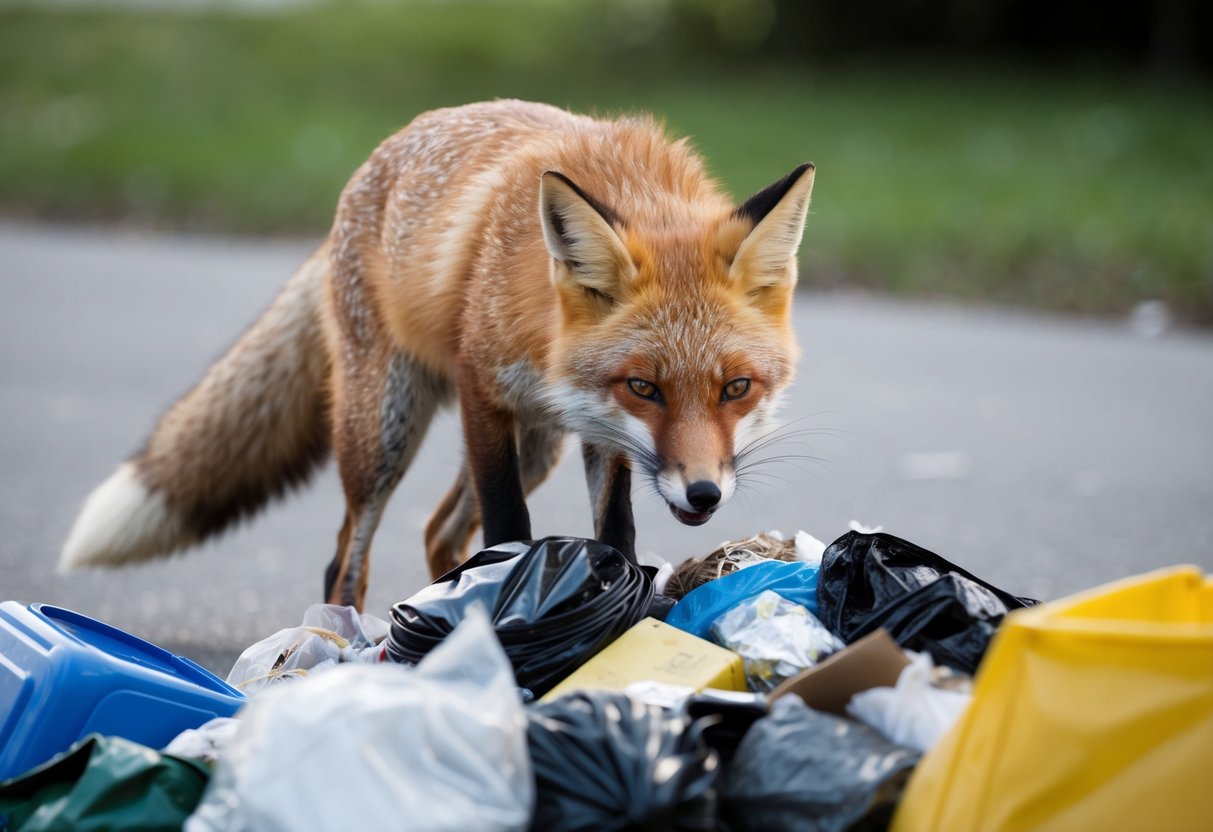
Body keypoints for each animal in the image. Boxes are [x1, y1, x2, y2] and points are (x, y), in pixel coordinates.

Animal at [61, 100, 815, 611]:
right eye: (645, 388)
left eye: (736, 388)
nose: (703, 493)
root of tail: (377, 157)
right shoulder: (484, 392)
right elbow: (510, 526)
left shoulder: (600, 433)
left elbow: (616, 533)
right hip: (383, 434)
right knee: (347, 561)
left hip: (540, 444)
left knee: (436, 534)